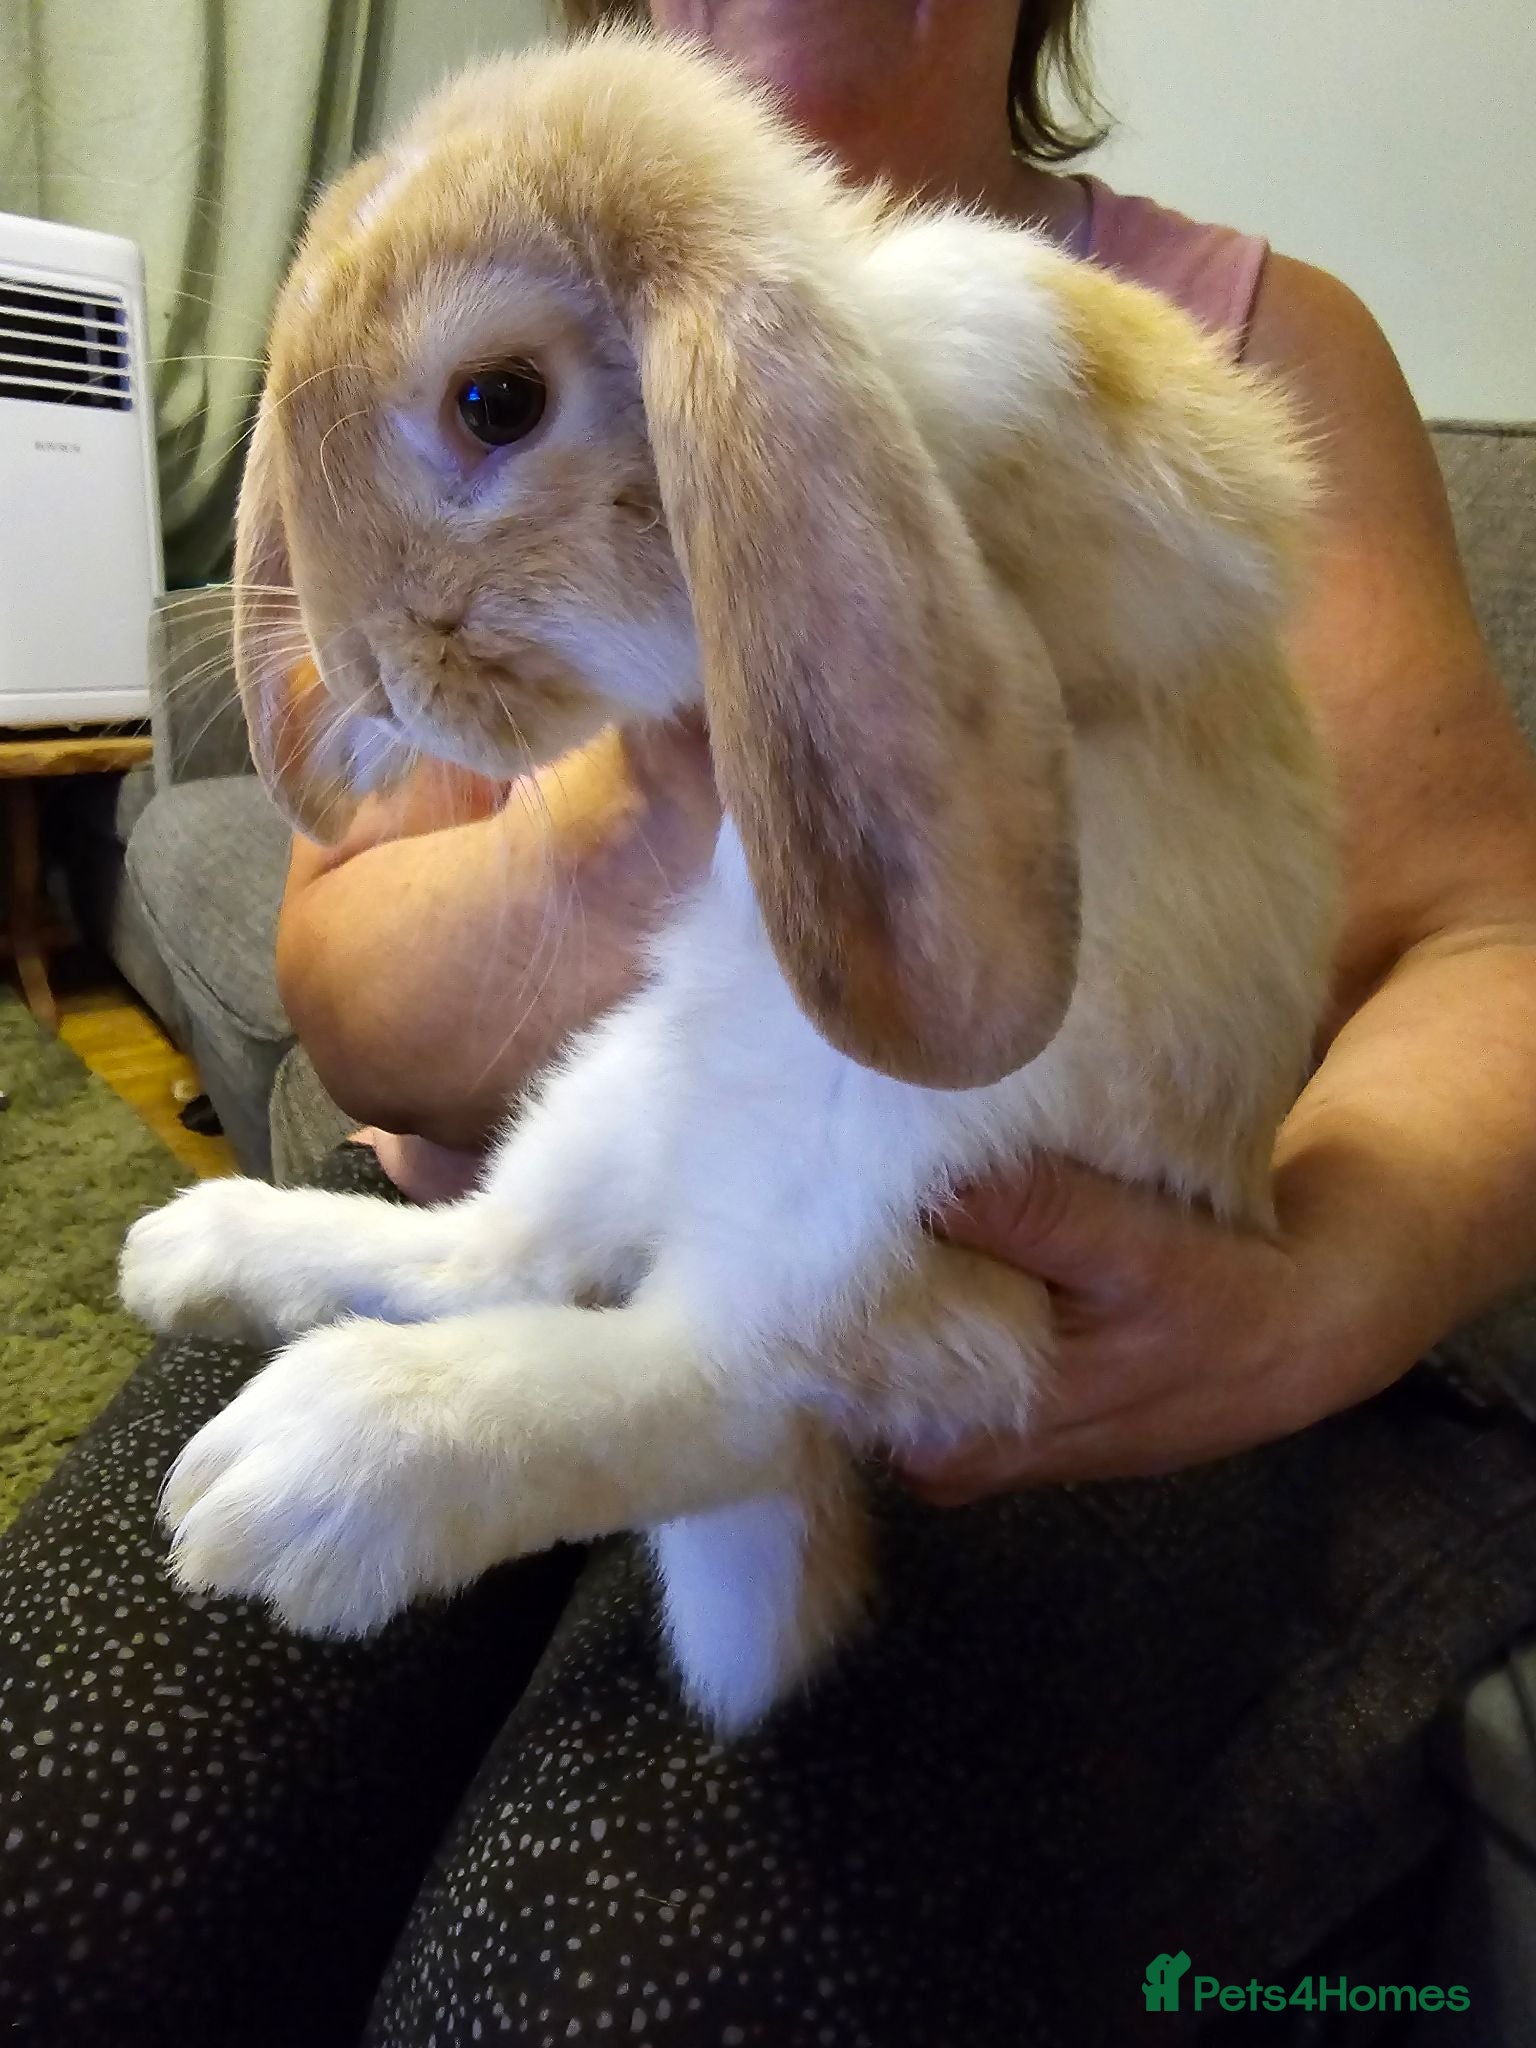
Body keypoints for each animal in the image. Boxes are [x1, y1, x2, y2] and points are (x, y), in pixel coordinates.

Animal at [119, 28, 1336, 1734]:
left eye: (496, 401)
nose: (361, 676)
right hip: (614, 1093)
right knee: (502, 1261)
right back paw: (208, 1258)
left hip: (881, 1192)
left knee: (722, 1384)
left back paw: (310, 1471)